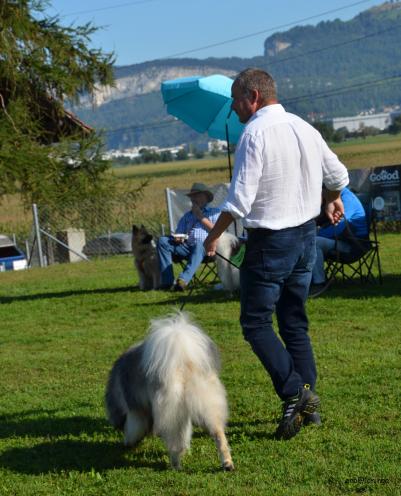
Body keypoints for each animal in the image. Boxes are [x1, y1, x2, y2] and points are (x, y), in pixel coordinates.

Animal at [104, 312, 233, 470]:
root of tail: (183, 361)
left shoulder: (136, 410)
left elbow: (133, 428)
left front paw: (129, 442)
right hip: (207, 405)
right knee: (219, 435)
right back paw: (227, 463)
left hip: (172, 412)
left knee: (176, 443)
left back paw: (175, 464)